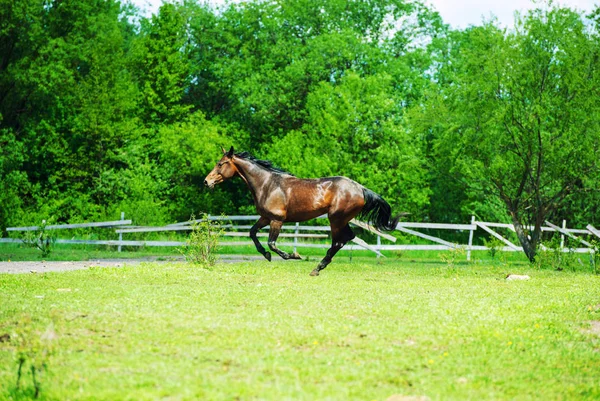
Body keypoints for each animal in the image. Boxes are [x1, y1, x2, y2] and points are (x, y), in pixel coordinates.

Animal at [205, 146, 398, 276]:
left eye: (220, 164)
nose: (207, 181)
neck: (268, 184)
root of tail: (360, 189)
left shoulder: (277, 219)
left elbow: (272, 243)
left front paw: (293, 255)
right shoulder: (265, 217)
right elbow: (252, 233)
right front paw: (266, 255)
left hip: (336, 219)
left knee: (338, 241)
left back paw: (316, 268)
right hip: (341, 220)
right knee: (346, 239)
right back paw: (319, 267)